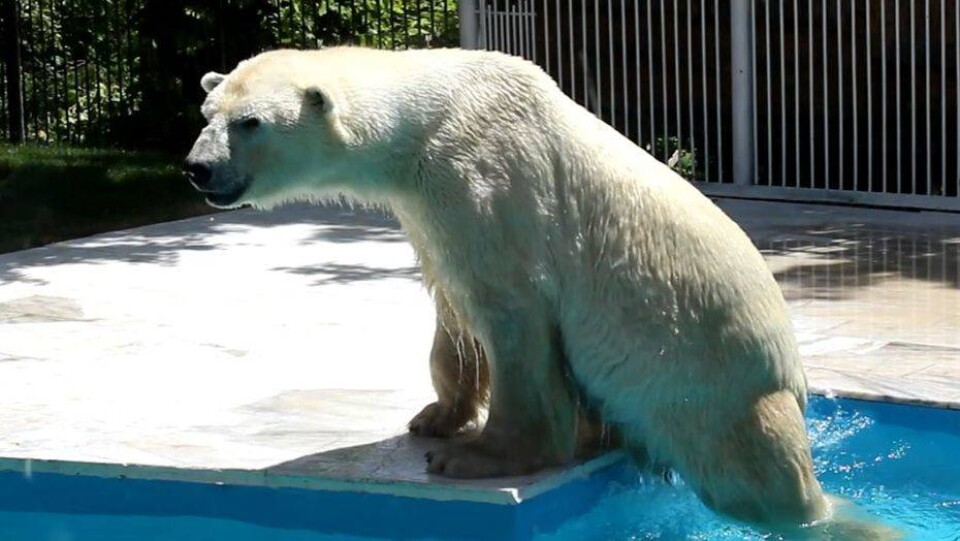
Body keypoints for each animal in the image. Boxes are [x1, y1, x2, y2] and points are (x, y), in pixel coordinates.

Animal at [184, 47, 896, 537]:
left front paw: (472, 456)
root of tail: (795, 383)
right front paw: (435, 416)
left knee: (763, 489)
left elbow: (513, 316)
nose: (197, 169)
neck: (430, 115)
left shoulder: (486, 180)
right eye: (208, 113)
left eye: (251, 122)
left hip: (716, 397)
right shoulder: (427, 208)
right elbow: (452, 310)